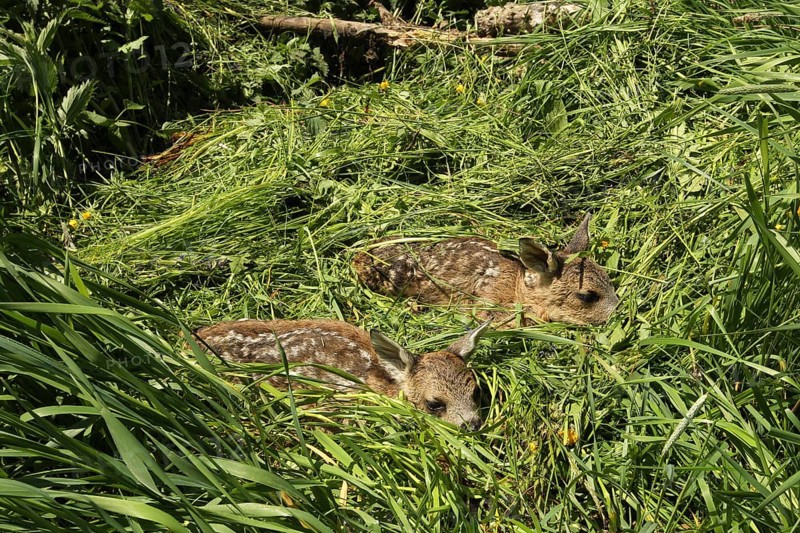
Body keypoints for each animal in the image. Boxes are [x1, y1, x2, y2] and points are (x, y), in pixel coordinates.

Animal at [353, 213, 619, 327]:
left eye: (608, 278)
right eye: (587, 296)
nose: (617, 311)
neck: (518, 287)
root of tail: (356, 258)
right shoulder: (489, 300)